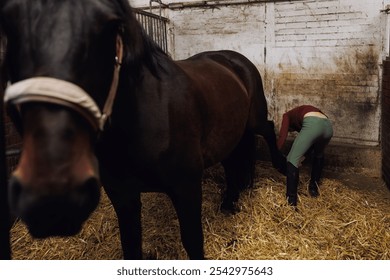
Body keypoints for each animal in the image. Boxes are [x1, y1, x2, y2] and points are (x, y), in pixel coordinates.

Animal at [1, 0, 284, 260]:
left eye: (110, 24)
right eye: (9, 24)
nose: (53, 192)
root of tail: (234, 60)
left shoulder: (186, 187)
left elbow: (193, 242)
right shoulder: (122, 195)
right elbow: (131, 245)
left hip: (254, 119)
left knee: (268, 129)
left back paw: (279, 167)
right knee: (232, 162)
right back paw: (230, 200)